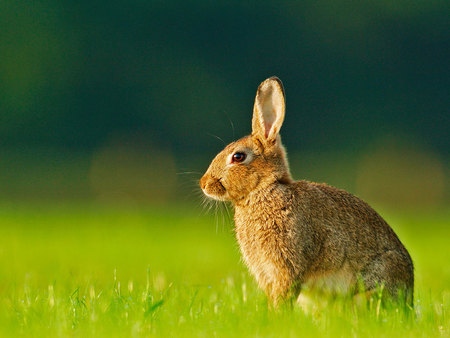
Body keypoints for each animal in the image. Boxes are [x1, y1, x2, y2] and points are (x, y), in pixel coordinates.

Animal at [200, 76, 414, 306]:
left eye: (238, 157)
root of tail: (410, 295)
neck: (264, 190)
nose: (204, 183)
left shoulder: (287, 265)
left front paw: (279, 313)